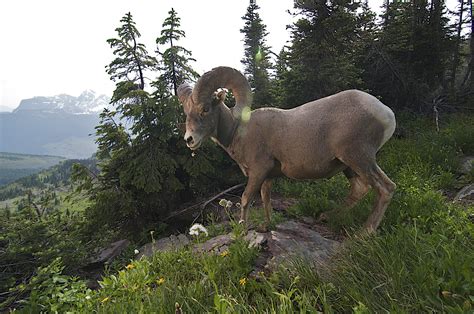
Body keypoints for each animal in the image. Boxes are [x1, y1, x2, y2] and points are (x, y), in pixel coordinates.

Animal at [178, 67, 396, 233]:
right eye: (186, 112)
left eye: (205, 109)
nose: (189, 140)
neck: (238, 131)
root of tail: (385, 113)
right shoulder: (267, 177)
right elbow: (266, 199)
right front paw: (266, 227)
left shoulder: (258, 171)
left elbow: (246, 198)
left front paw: (242, 229)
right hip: (348, 165)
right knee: (360, 188)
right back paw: (326, 217)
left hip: (358, 157)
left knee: (386, 188)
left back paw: (365, 232)